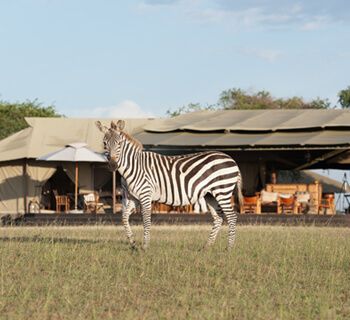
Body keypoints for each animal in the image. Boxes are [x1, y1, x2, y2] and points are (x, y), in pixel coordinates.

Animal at [96, 120, 243, 250]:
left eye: (119, 143)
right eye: (104, 143)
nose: (113, 165)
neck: (134, 167)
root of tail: (231, 159)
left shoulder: (145, 194)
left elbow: (146, 220)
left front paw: (145, 246)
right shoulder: (133, 198)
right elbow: (124, 218)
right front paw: (133, 243)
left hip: (222, 191)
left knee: (232, 217)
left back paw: (229, 249)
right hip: (210, 195)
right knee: (218, 219)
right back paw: (206, 247)